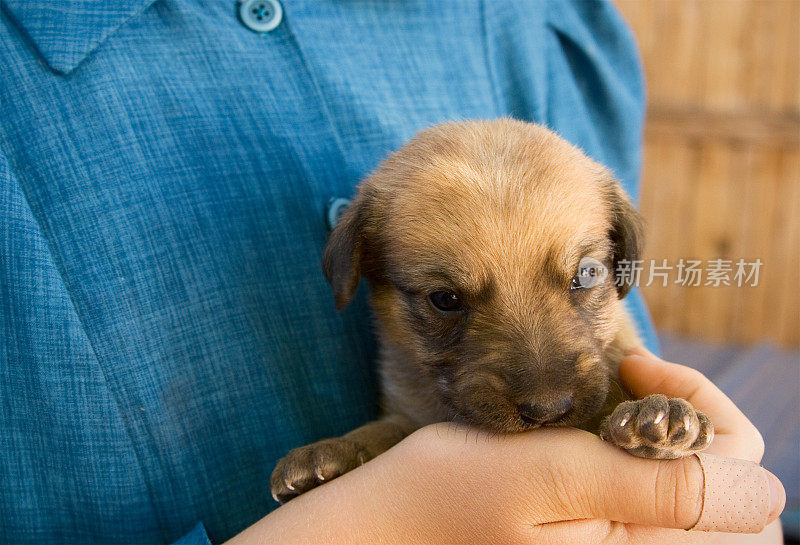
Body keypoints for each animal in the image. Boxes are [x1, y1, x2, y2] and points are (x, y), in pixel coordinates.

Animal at [268, 118, 712, 502]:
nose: (548, 411)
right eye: (445, 299)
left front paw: (653, 418)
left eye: (586, 275)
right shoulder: (406, 415)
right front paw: (338, 449)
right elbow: (383, 432)